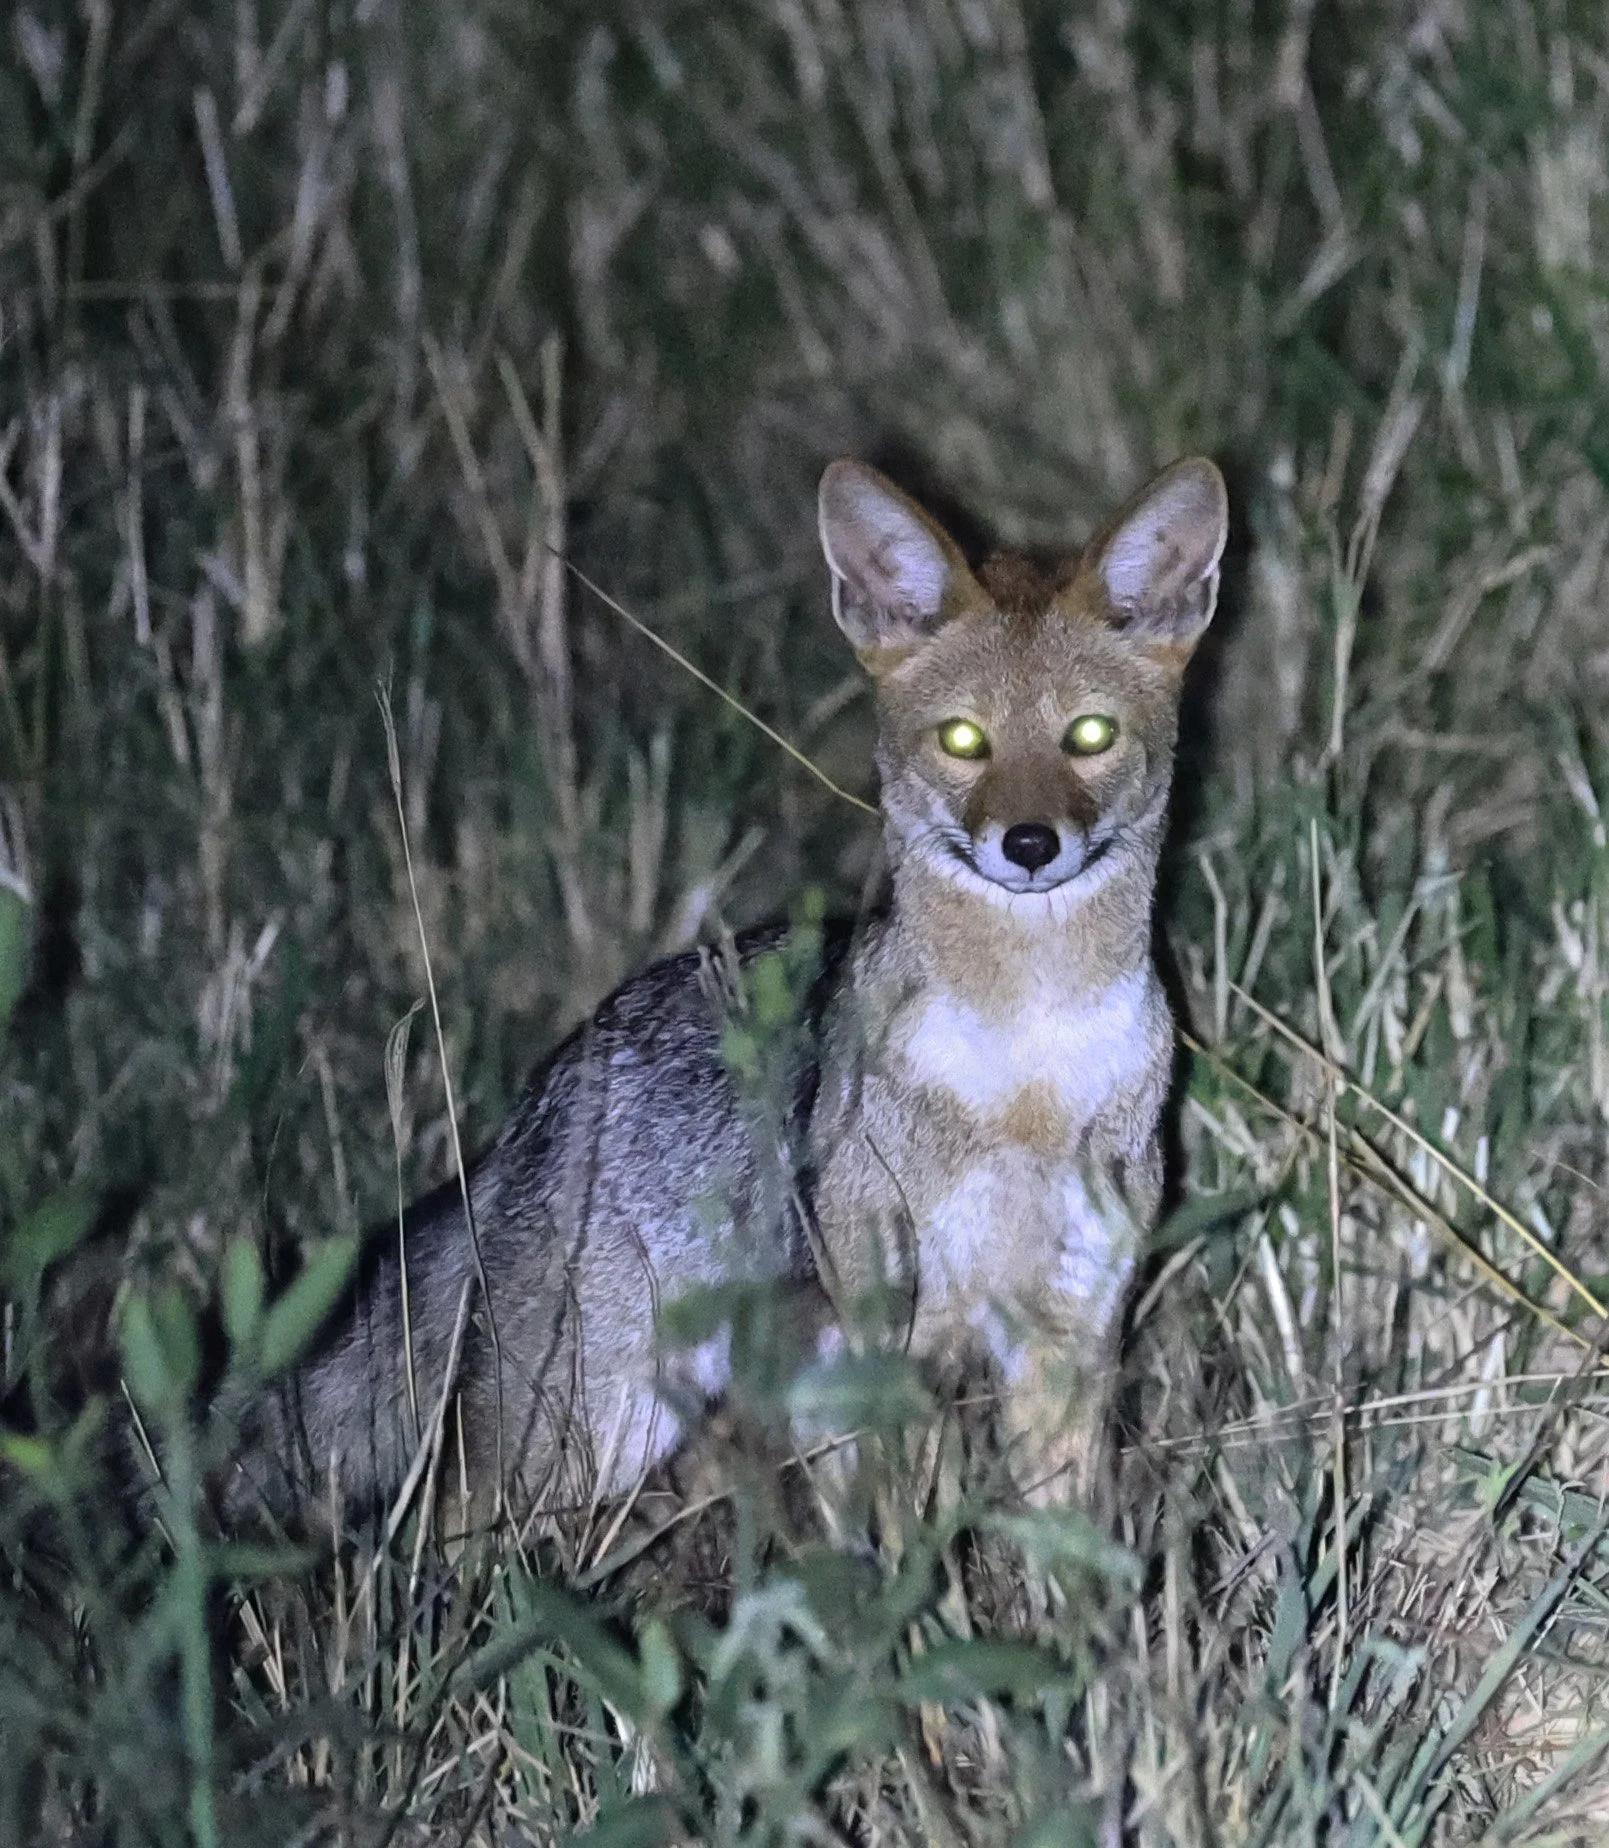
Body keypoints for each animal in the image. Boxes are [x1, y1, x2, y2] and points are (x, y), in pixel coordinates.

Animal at [231, 453, 1229, 1527]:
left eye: (1088, 735)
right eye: (964, 741)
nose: (1031, 845)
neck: (1026, 1073)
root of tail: (534, 1108)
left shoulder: (1068, 1344)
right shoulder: (890, 1346)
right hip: (580, 1443)